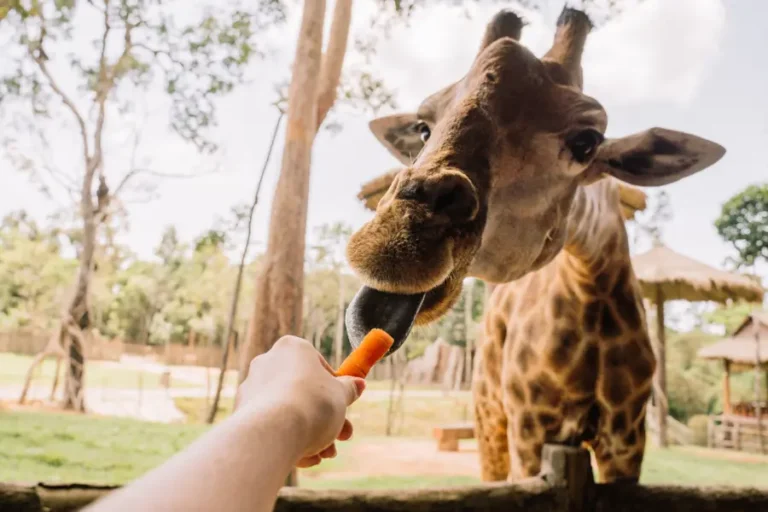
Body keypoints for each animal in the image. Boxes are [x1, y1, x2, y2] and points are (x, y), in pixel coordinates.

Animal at [344, 8, 725, 483]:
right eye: (423, 127)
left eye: (587, 142)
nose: (393, 244)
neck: (591, 286)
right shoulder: (528, 427)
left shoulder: (626, 438)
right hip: (488, 417)